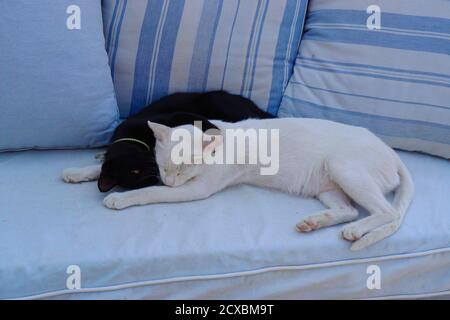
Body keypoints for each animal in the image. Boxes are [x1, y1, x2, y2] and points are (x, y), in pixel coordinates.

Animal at [99, 90, 274, 191]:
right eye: (138, 177)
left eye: (135, 171)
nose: (157, 176)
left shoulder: (174, 116)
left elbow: (206, 123)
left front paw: (216, 135)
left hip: (217, 104)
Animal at [99, 117, 414, 250]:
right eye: (164, 166)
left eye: (184, 169)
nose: (171, 181)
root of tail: (392, 153)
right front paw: (88, 172)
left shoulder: (196, 189)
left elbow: (151, 192)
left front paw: (121, 198)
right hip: (328, 186)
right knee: (348, 210)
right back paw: (314, 222)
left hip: (344, 168)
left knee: (387, 212)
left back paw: (357, 229)